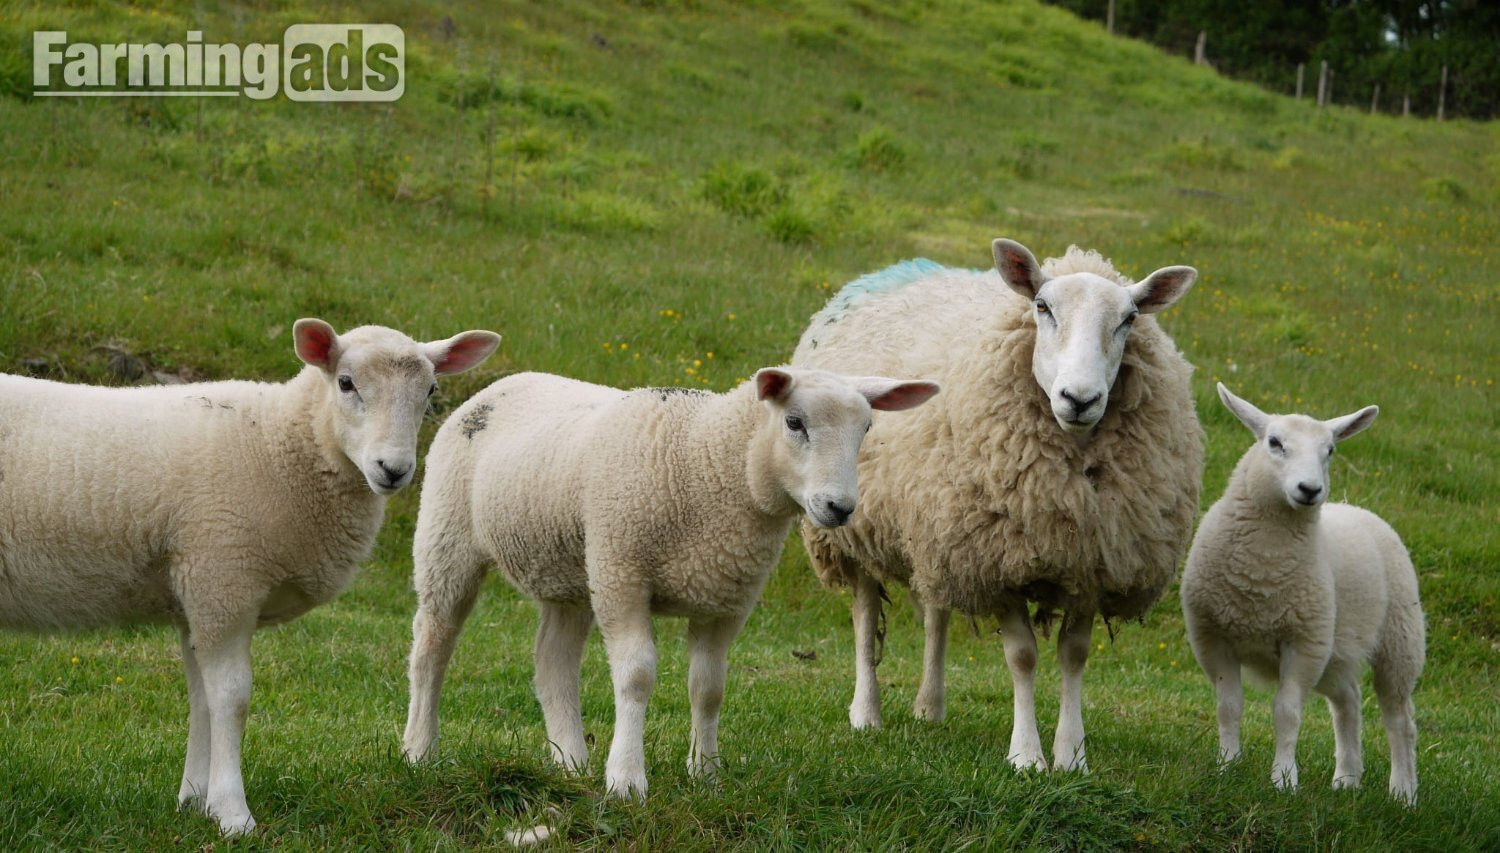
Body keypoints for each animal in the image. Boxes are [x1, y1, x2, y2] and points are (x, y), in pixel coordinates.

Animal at [0, 319, 501, 834]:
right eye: (345, 383)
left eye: (431, 390)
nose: (394, 469)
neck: (281, 442)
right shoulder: (223, 577)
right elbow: (231, 697)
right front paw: (232, 812)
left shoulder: (198, 594)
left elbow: (201, 697)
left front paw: (193, 800)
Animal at [401, 367, 938, 799]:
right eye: (794, 423)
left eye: (866, 428)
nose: (840, 508)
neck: (709, 461)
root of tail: (502, 384)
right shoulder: (623, 576)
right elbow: (637, 676)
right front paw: (626, 781)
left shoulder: (726, 598)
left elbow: (709, 688)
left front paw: (705, 773)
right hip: (449, 539)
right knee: (432, 646)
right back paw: (419, 750)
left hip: (573, 568)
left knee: (553, 660)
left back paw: (571, 762)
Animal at [792, 239, 1202, 772]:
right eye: (1042, 307)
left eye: (1129, 318)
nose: (1079, 398)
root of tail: (896, 269)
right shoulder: (997, 561)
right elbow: (1023, 656)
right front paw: (1026, 757)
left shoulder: (1091, 560)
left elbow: (1074, 654)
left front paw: (1072, 756)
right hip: (853, 526)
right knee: (864, 613)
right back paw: (866, 713)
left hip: (936, 525)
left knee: (936, 612)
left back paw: (929, 707)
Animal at [1180, 384, 1425, 802]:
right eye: (1274, 443)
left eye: (1330, 450)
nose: (1309, 490)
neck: (1260, 575)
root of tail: (1358, 509)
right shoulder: (1212, 636)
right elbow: (1229, 705)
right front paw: (1228, 766)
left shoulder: (1304, 643)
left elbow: (1287, 712)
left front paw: (1283, 780)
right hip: (1336, 652)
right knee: (1348, 702)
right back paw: (1347, 779)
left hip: (1399, 640)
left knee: (1399, 719)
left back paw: (1404, 793)